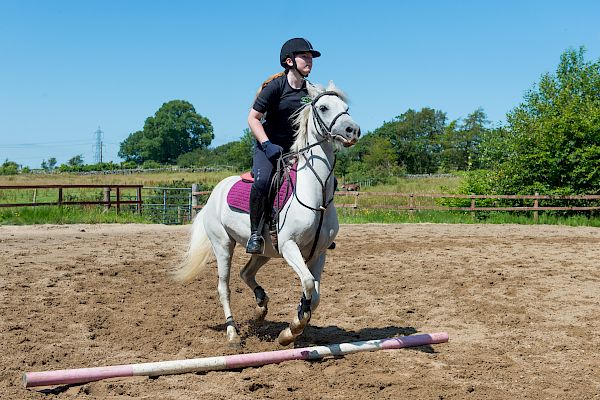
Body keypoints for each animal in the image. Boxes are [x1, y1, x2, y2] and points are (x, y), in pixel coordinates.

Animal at [173, 79, 360, 346]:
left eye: (346, 107)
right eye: (324, 107)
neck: (315, 193)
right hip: (223, 245)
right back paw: (232, 333)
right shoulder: (290, 246)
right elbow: (307, 283)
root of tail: (213, 195)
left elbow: (314, 295)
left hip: (264, 251)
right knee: (224, 287)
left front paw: (294, 324)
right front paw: (292, 329)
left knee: (246, 273)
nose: (353, 130)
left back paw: (261, 307)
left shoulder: (319, 253)